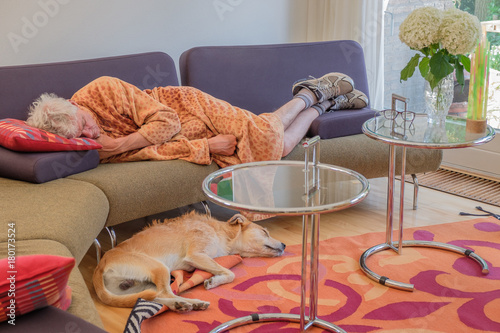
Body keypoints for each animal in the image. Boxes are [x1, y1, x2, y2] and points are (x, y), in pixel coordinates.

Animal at [93, 211, 286, 310]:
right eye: (265, 232)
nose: (284, 244)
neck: (224, 234)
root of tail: (99, 266)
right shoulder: (196, 255)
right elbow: (230, 273)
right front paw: (214, 281)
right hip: (159, 268)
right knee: (165, 293)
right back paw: (189, 303)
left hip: (140, 286)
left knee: (152, 298)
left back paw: (183, 304)